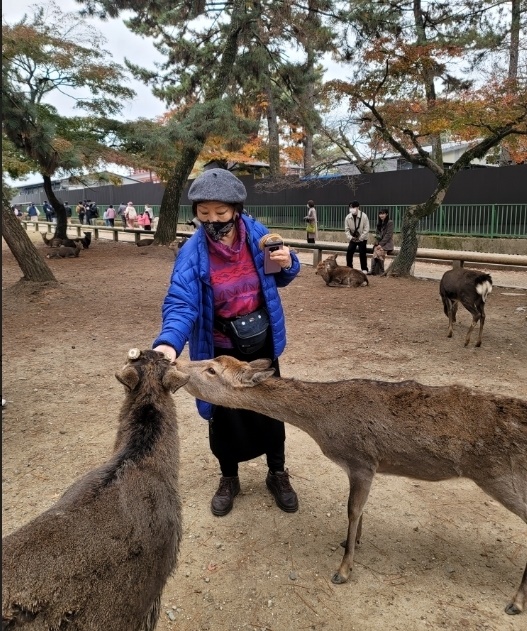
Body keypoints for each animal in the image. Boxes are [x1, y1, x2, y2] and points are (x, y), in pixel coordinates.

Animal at [176, 356, 527, 616]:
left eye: (211, 369)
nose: (177, 363)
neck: (322, 423)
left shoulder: (362, 460)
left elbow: (352, 509)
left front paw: (343, 570)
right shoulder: (358, 467)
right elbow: (359, 510)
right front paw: (352, 542)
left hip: (503, 478)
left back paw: (515, 602)